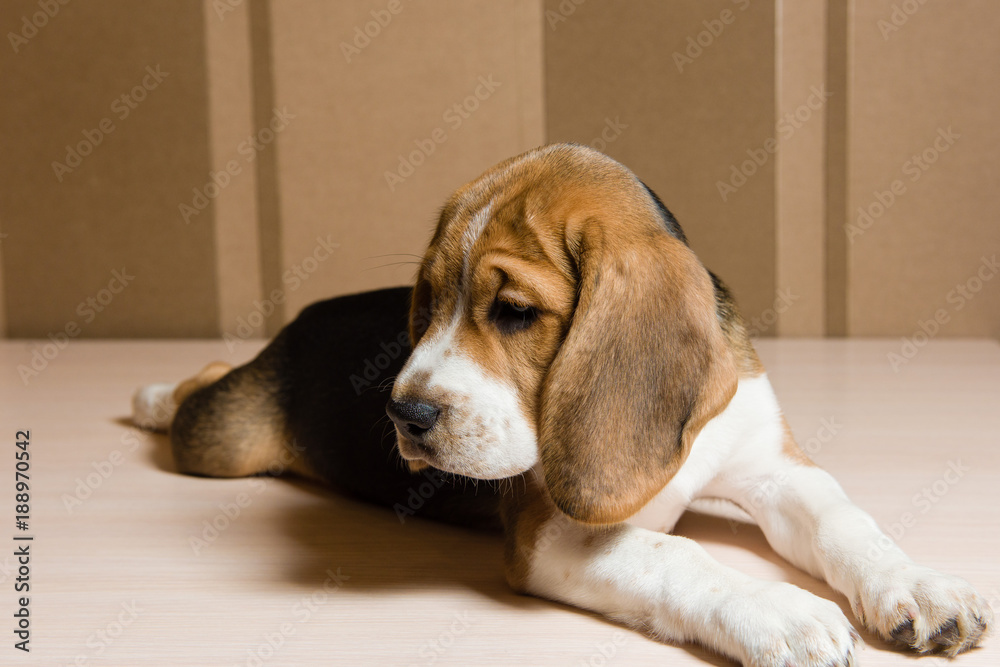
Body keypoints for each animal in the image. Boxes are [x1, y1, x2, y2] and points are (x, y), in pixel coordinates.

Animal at [135, 144, 992, 664]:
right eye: (428, 302)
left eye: (514, 311)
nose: (405, 416)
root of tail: (297, 321)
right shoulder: (553, 535)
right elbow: (680, 556)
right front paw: (781, 611)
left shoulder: (778, 470)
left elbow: (849, 520)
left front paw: (920, 584)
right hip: (222, 442)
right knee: (201, 387)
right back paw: (150, 394)